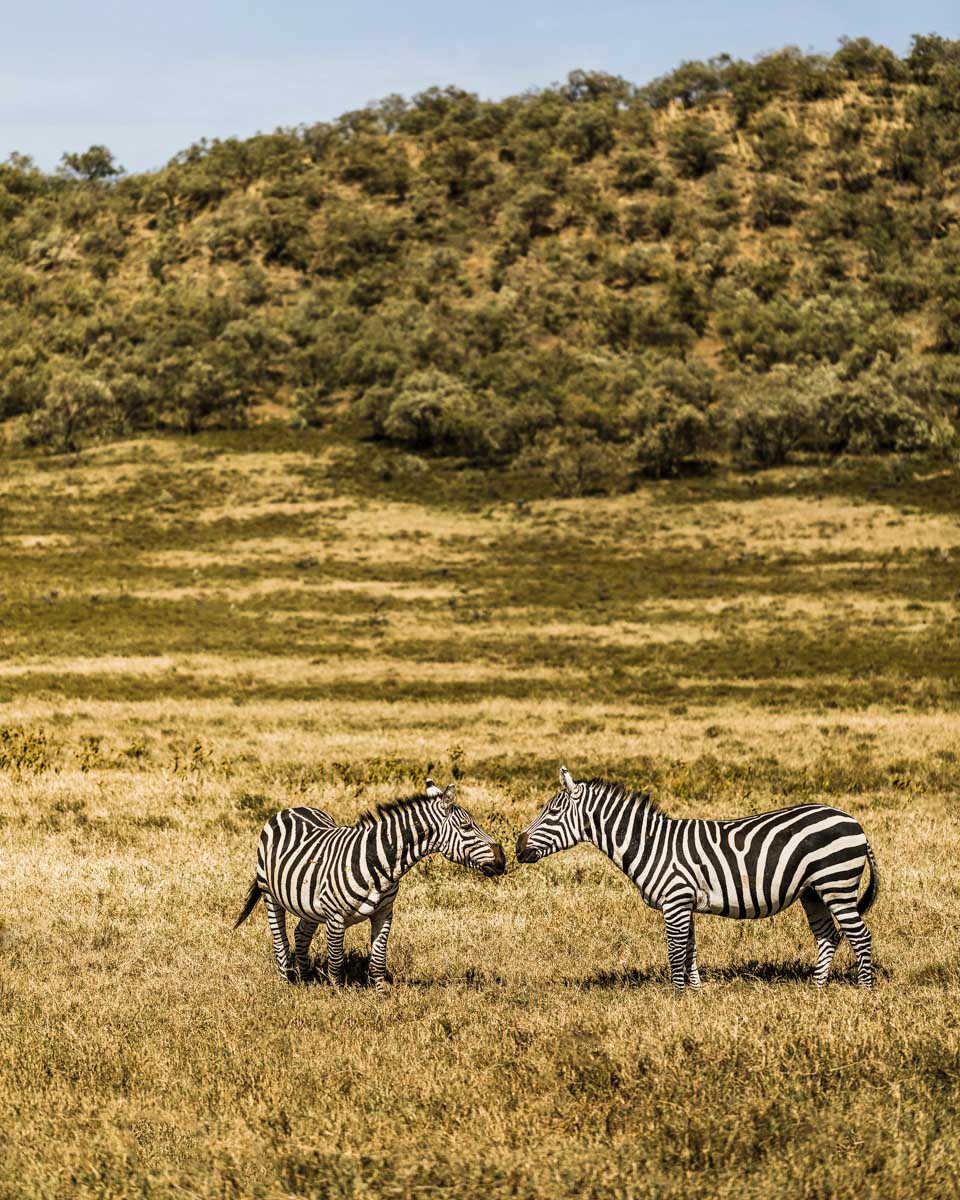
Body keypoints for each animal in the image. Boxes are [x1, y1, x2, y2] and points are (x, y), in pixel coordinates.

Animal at [234, 779, 505, 991]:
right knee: (280, 940)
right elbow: (336, 960)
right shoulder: (335, 916)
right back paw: (286, 982)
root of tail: (290, 808)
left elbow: (378, 959)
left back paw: (306, 977)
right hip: (270, 893)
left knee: (301, 933)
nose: (502, 859)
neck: (378, 859)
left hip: (309, 901)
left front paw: (381, 993)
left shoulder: (384, 913)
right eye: (467, 826)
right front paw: (336, 993)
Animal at [516, 766, 880, 992]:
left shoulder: (675, 900)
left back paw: (865, 990)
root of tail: (853, 820)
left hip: (837, 883)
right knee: (828, 936)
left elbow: (675, 950)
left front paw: (676, 996)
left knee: (859, 935)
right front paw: (695, 992)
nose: (518, 847)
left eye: (552, 812)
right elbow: (689, 948)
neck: (650, 844)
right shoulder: (684, 902)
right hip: (813, 891)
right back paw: (817, 988)